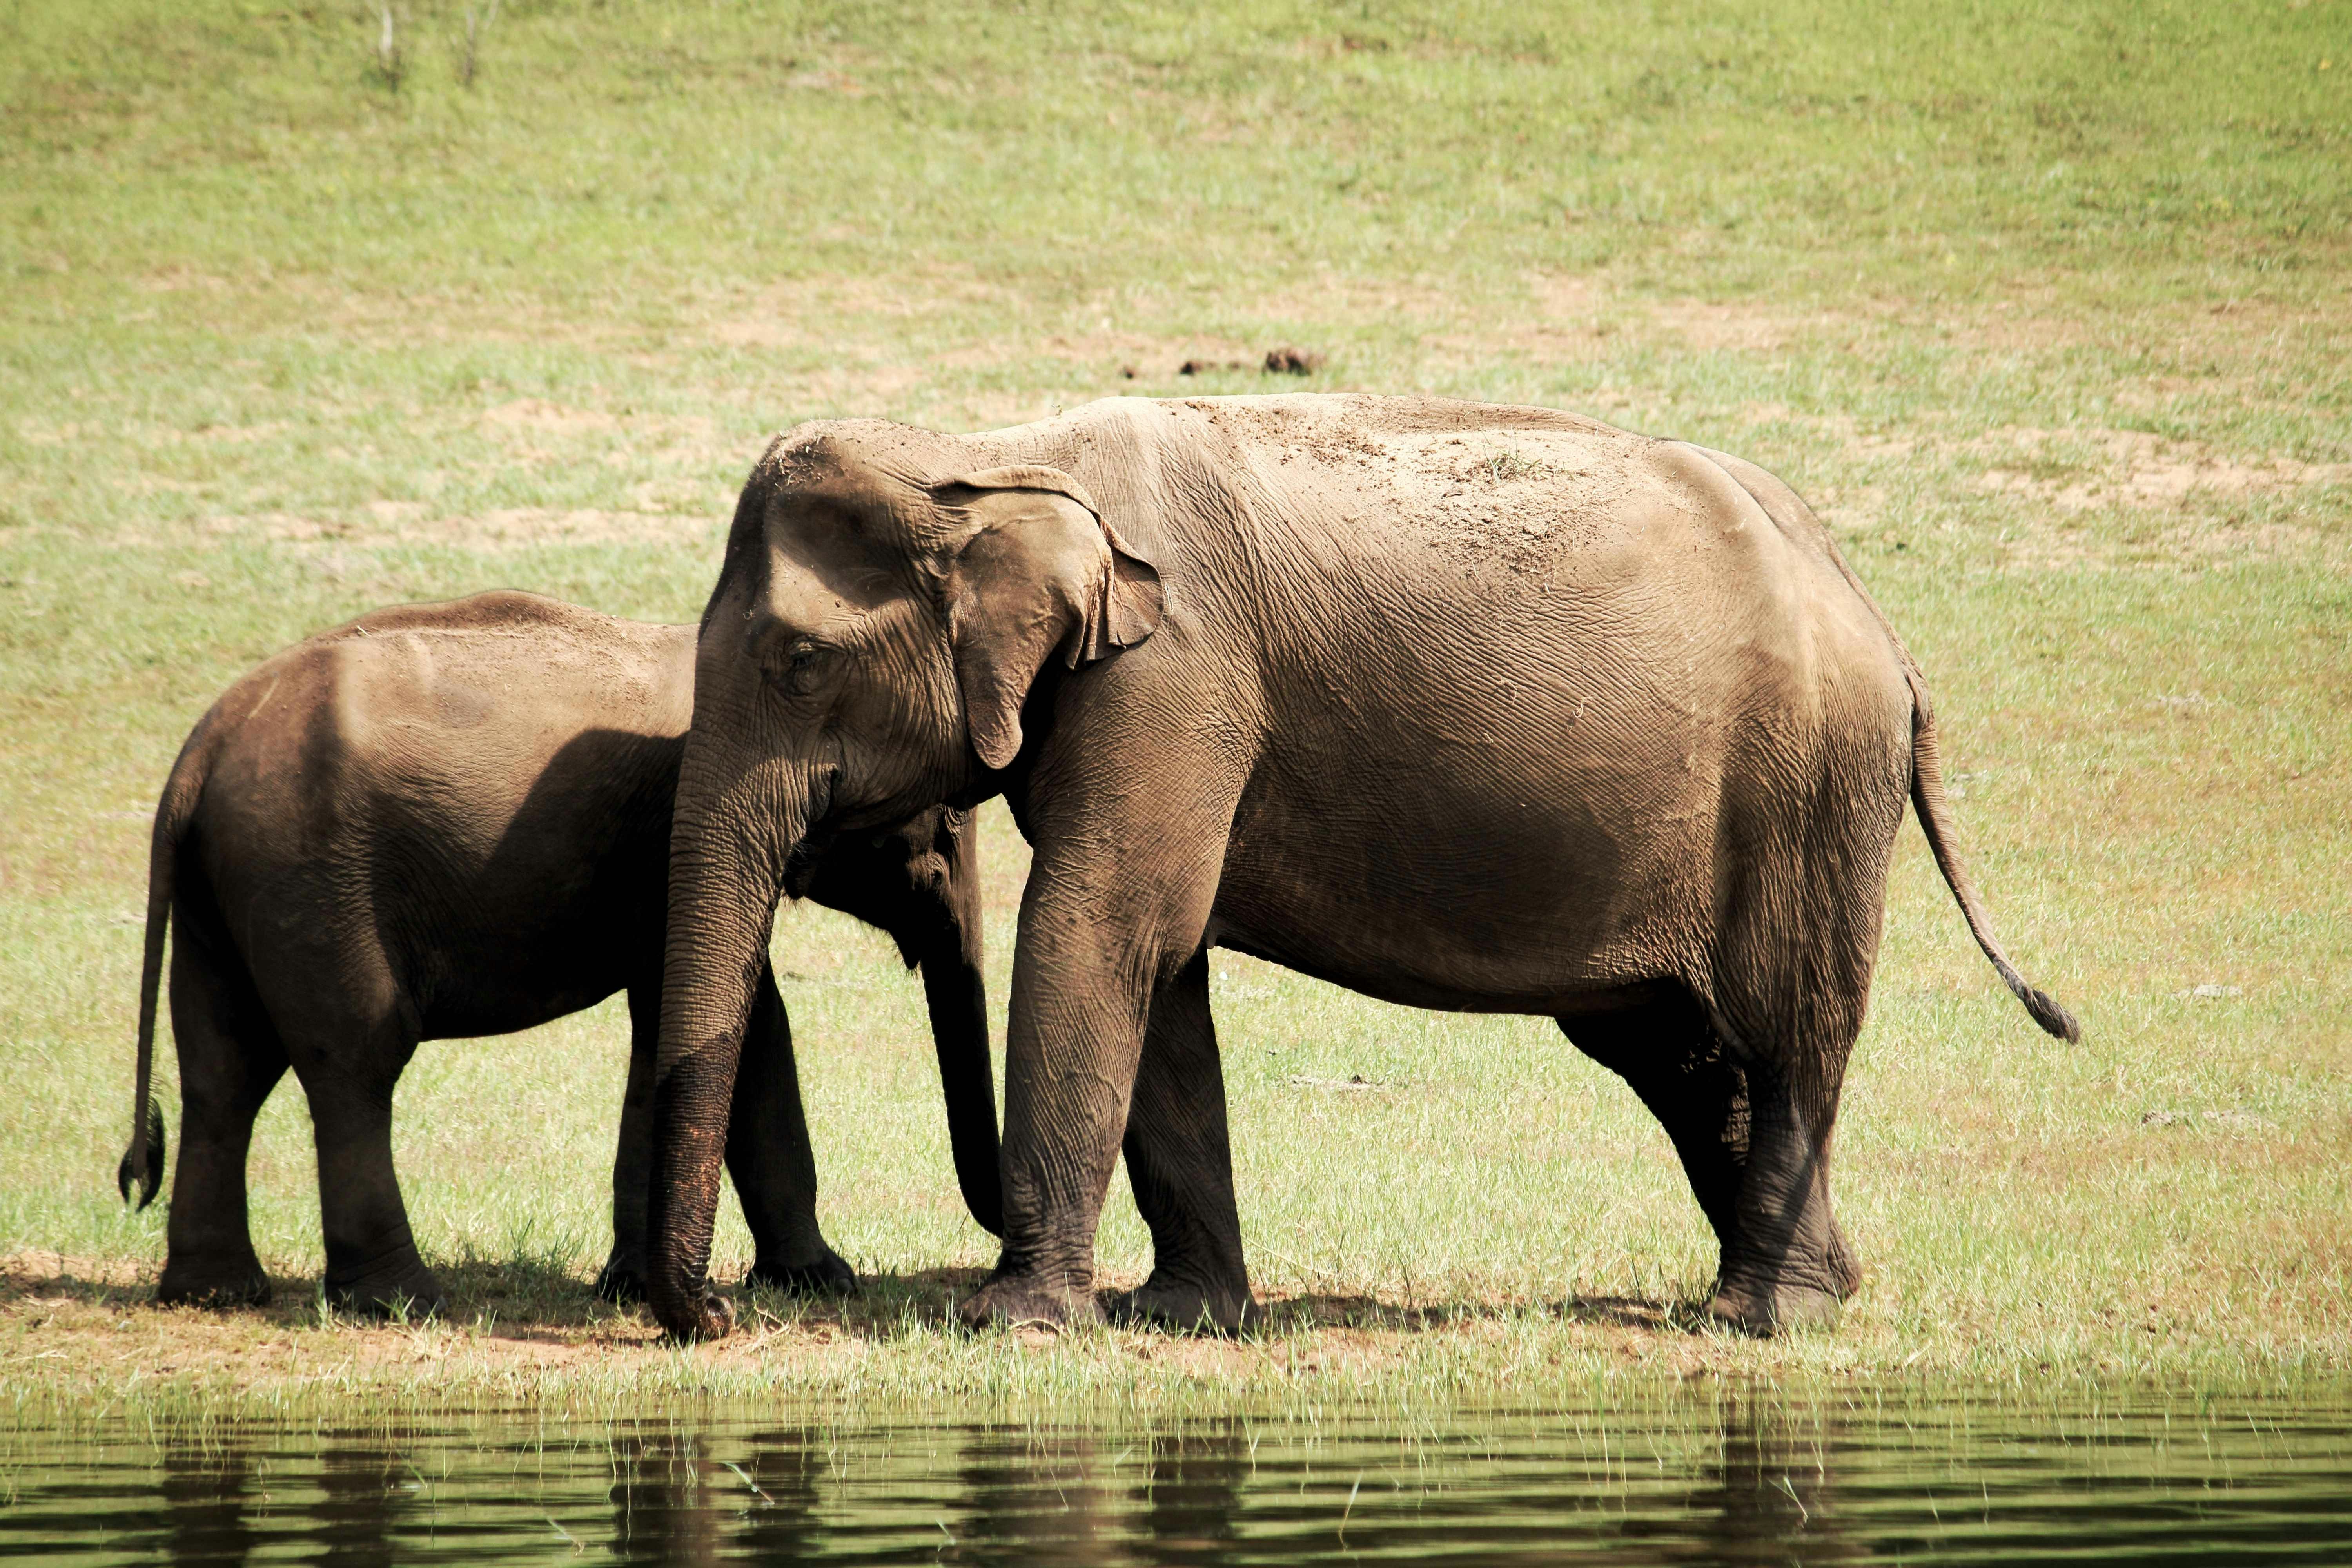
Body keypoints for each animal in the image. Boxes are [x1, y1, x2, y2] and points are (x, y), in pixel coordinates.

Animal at [114, 589, 1001, 1316]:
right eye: (953, 817)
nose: (716, 1307)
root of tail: (197, 757)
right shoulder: (686, 832)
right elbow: (746, 1026)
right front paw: (821, 1281)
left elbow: (687, 1026)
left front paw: (639, 1288)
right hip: (311, 877)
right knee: (354, 1061)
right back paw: (402, 1301)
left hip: (230, 886)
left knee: (224, 1066)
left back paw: (215, 1293)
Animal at [641, 393, 2076, 1342]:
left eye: (797, 663)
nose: (715, 1317)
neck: (987, 454)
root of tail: (1877, 619)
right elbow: (1163, 965)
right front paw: (1184, 1317)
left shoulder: (1176, 682)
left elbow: (1101, 929)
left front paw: (1021, 1325)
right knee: (1672, 1047)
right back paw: (1812, 1287)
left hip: (1808, 786)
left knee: (1788, 1027)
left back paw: (1761, 1318)